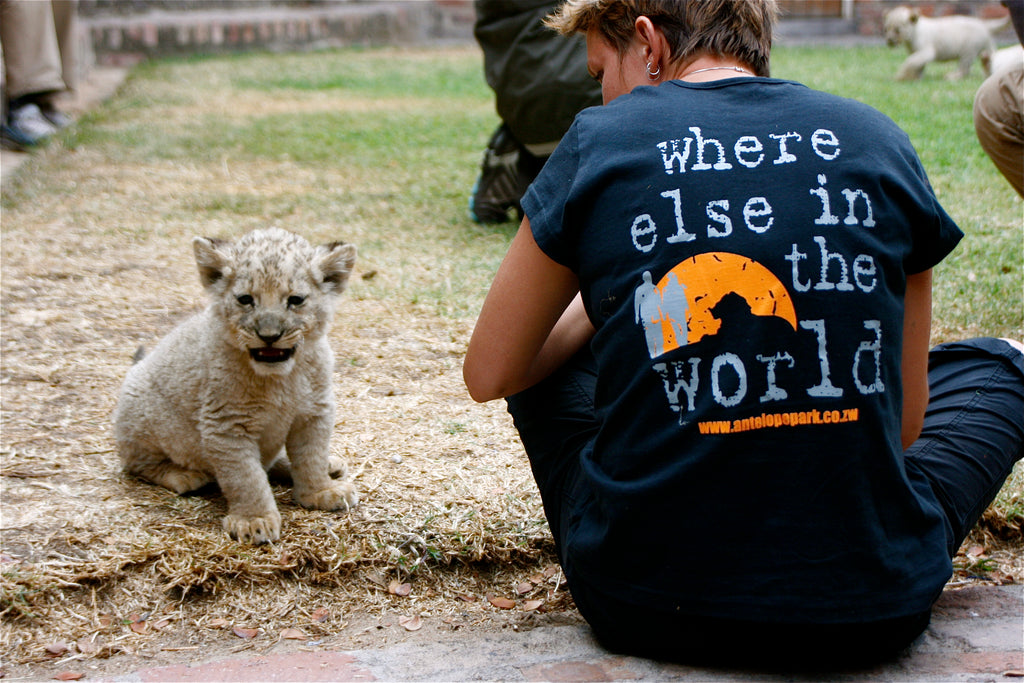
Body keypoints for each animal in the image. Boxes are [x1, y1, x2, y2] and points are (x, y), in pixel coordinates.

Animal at [113, 227, 359, 544]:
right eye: (245, 300)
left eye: (295, 300)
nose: (269, 336)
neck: (281, 378)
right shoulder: (225, 425)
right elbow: (245, 476)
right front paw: (254, 520)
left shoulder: (314, 412)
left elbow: (311, 456)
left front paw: (321, 491)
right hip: (139, 412)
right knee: (136, 463)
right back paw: (183, 475)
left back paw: (328, 466)